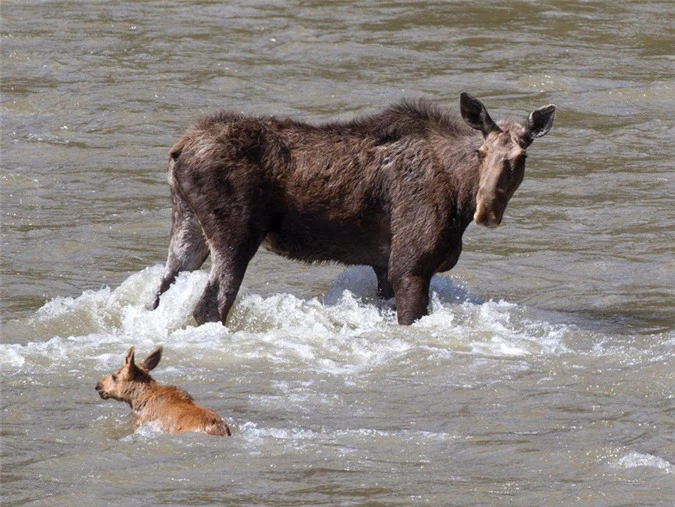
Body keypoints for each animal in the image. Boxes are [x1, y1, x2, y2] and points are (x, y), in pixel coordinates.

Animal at [153, 93, 556, 326]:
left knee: (160, 293)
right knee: (209, 307)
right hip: (235, 237)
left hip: (186, 229)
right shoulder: (410, 265)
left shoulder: (383, 265)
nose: (486, 210)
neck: (458, 194)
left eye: (520, 158)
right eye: (481, 153)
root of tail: (177, 150)